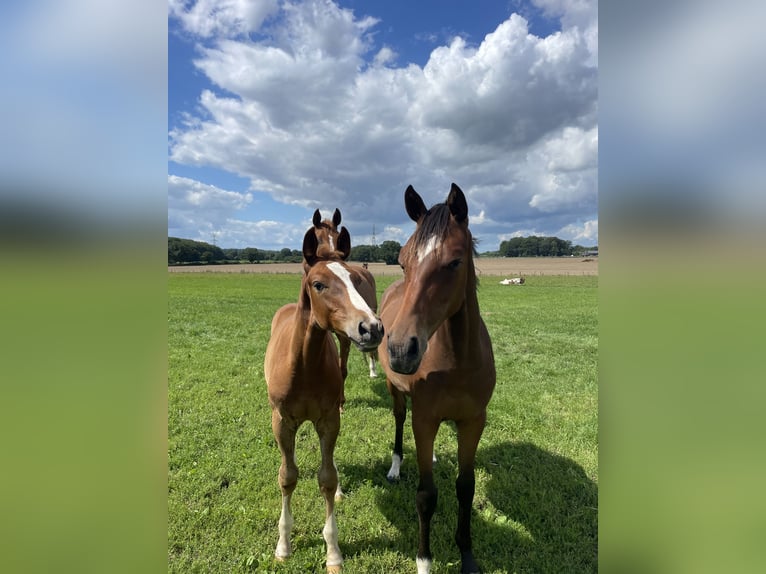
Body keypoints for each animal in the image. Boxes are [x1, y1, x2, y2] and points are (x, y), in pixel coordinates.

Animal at [266, 227, 384, 572]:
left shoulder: (329, 419)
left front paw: (333, 552)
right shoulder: (282, 422)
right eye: (318, 284)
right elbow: (287, 477)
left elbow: (328, 479)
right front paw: (284, 546)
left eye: (355, 280)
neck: (304, 365)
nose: (372, 327)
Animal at [314, 209, 382, 384]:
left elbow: (342, 370)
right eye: (317, 239)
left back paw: (373, 371)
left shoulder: (345, 337)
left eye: (339, 239)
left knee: (371, 351)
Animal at [378, 184, 498, 574]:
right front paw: (424, 560)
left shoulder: (473, 421)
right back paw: (396, 466)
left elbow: (466, 487)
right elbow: (426, 496)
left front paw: (468, 557)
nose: (401, 348)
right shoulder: (425, 418)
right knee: (399, 420)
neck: (456, 362)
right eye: (402, 261)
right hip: (398, 396)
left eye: (454, 262)